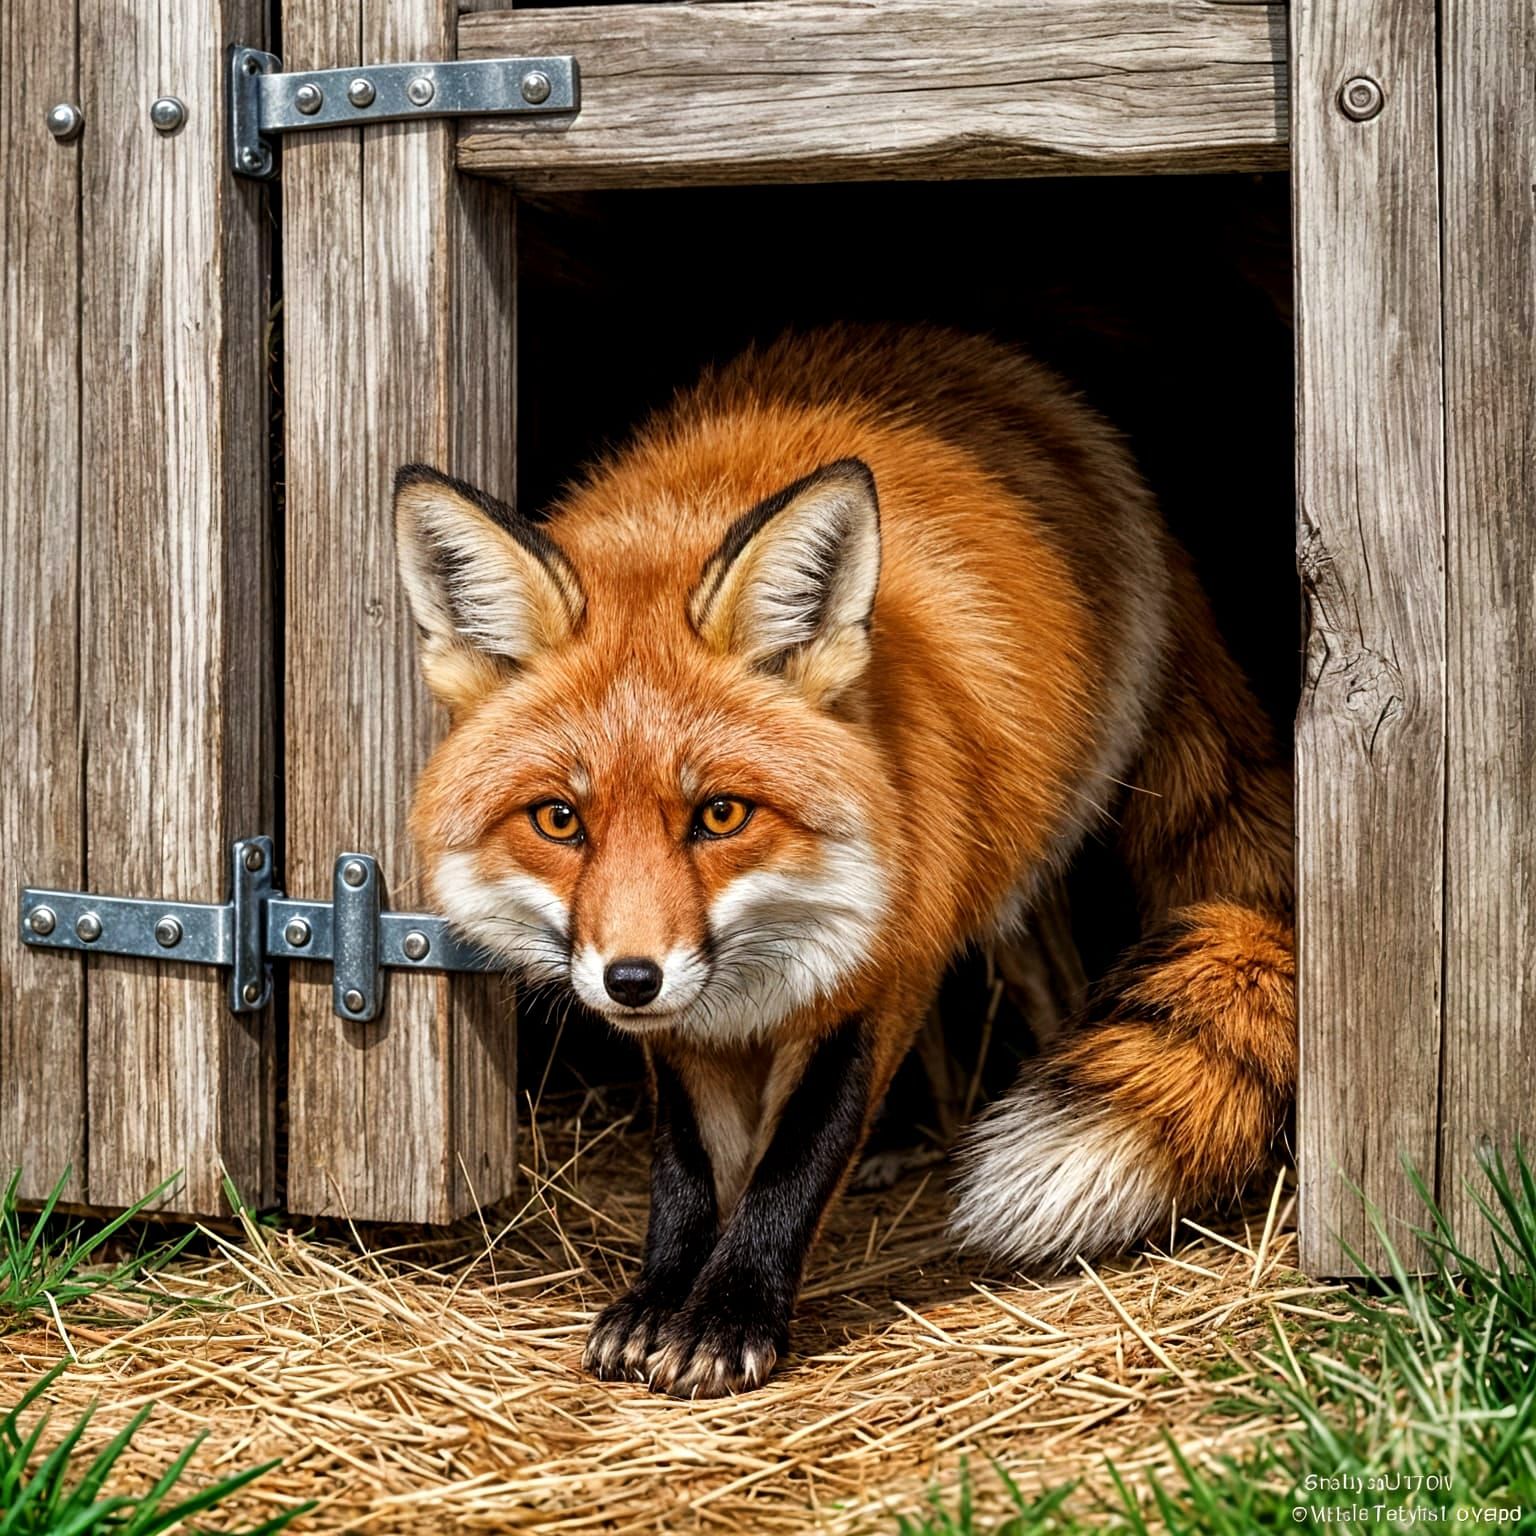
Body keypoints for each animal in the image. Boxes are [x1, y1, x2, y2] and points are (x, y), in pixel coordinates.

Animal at [392, 324, 1294, 1399]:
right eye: (560, 820)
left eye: (721, 814)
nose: (631, 980)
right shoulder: (690, 1023)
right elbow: (689, 1167)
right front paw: (661, 1298)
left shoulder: (878, 973)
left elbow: (796, 1159)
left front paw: (729, 1317)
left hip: (1017, 865)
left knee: (1048, 974)